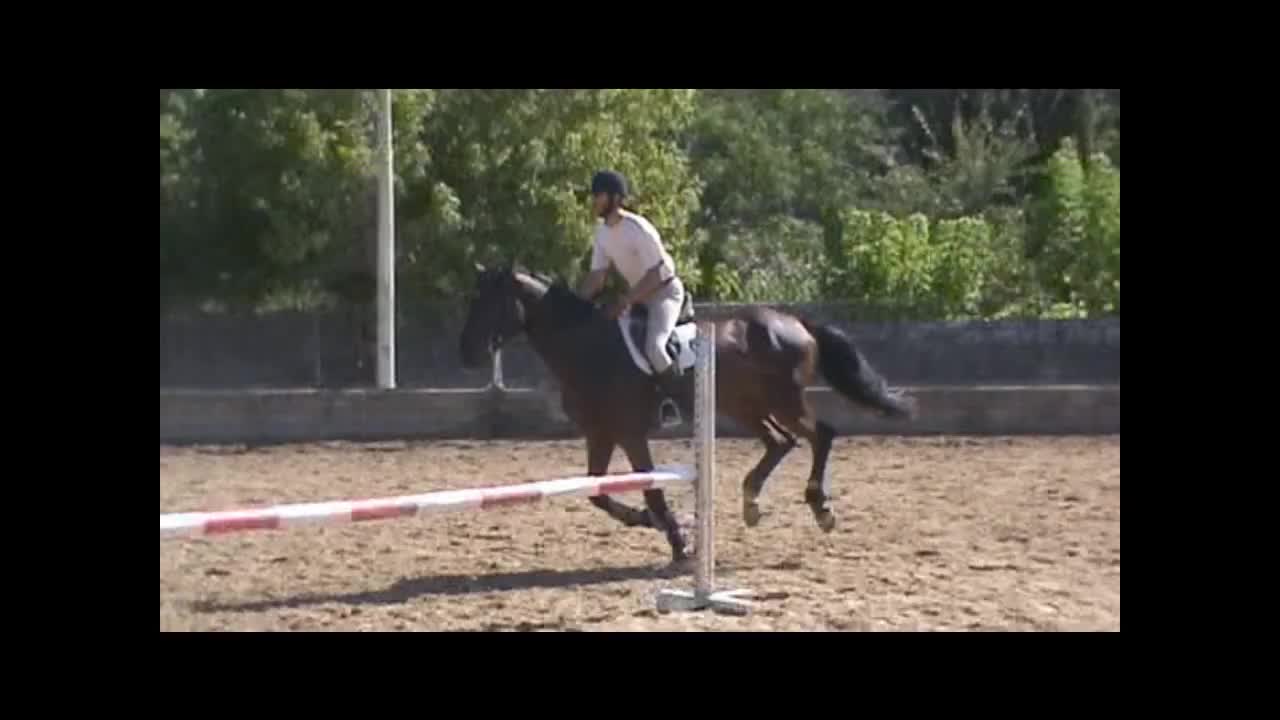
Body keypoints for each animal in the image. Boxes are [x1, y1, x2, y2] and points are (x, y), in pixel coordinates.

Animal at [455, 262, 916, 561]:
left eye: (489, 304)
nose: (467, 353)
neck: (587, 347)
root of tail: (797, 323)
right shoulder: (600, 433)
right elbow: (596, 491)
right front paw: (648, 521)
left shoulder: (630, 433)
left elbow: (651, 489)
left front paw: (675, 539)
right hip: (745, 404)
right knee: (780, 442)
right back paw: (751, 501)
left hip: (782, 401)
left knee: (820, 433)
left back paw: (820, 508)